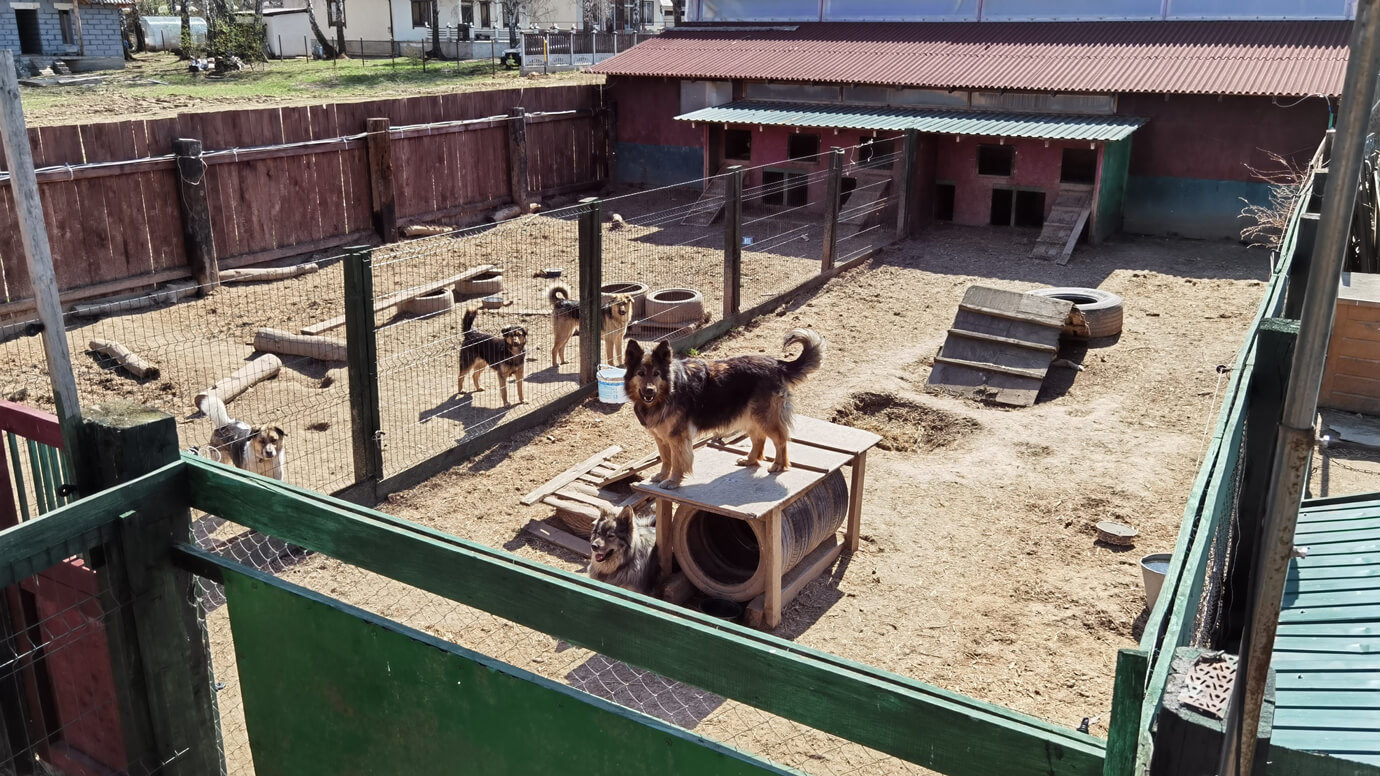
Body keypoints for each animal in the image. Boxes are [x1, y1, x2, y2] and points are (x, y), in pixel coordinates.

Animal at [629, 327, 828, 486]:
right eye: (640, 373)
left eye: (656, 373)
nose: (649, 391)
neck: (668, 390)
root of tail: (777, 364)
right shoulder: (661, 437)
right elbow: (665, 459)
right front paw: (662, 476)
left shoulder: (678, 437)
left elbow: (678, 461)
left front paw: (672, 481)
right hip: (750, 417)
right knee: (759, 439)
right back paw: (750, 460)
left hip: (765, 418)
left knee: (780, 439)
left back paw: (779, 465)